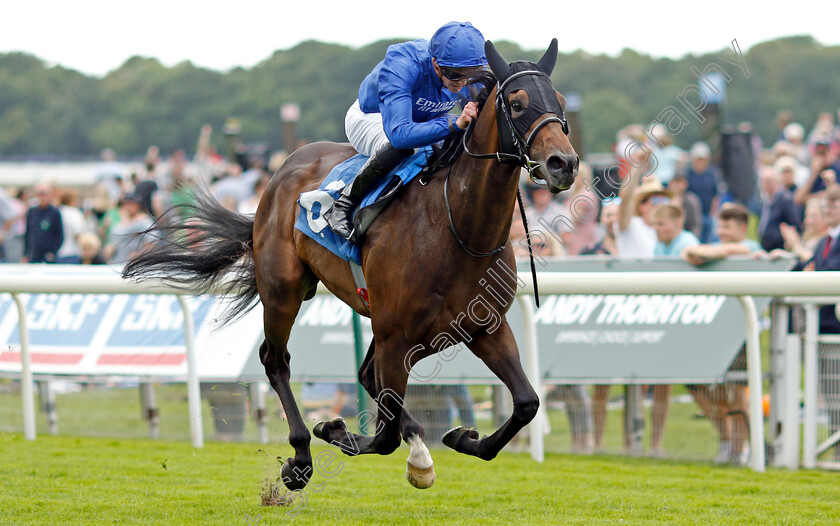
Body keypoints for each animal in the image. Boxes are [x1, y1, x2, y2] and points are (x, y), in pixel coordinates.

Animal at [123, 41, 576, 496]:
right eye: (516, 103)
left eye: (560, 102)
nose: (564, 163)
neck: (456, 226)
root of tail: (284, 169)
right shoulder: (396, 333)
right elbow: (384, 434)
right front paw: (334, 430)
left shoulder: (481, 326)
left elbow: (527, 402)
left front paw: (462, 438)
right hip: (283, 290)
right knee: (276, 360)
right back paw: (301, 457)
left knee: (366, 376)